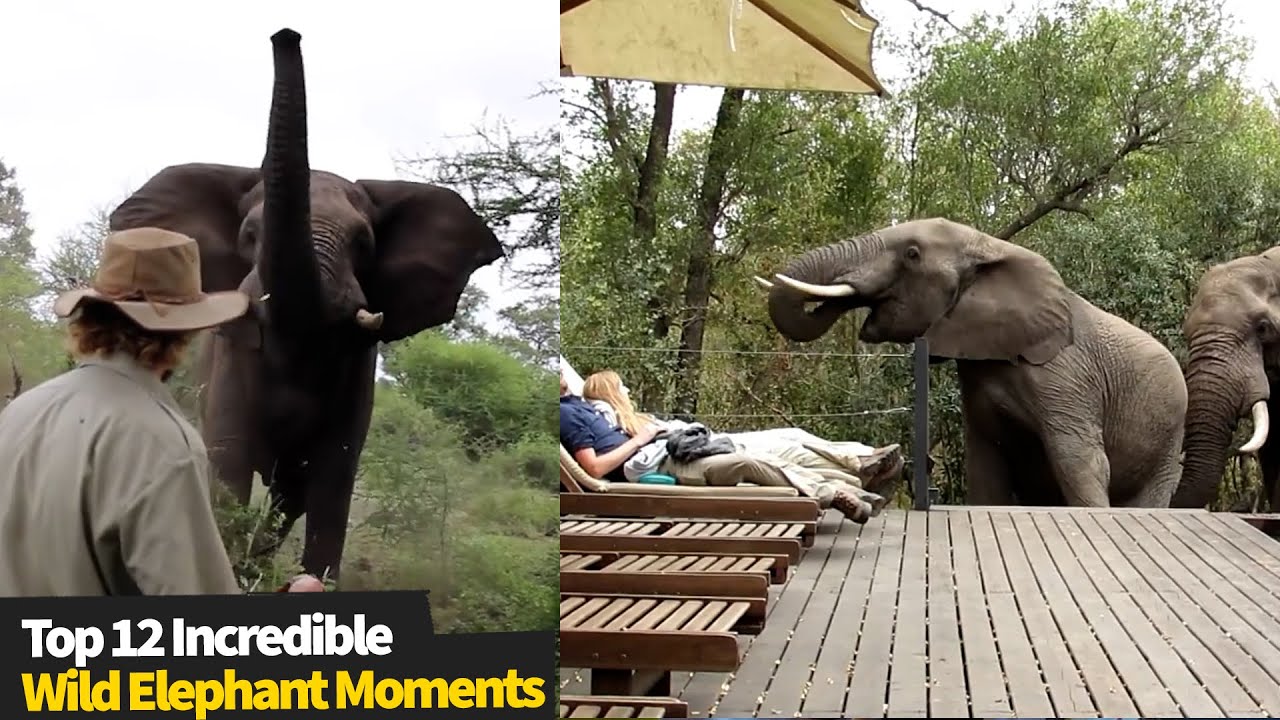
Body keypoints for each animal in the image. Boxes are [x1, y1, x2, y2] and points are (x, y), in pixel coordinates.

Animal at [106, 29, 504, 576]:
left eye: (363, 243)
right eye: (250, 235)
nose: (285, 35)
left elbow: (332, 482)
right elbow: (229, 467)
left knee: (289, 496)